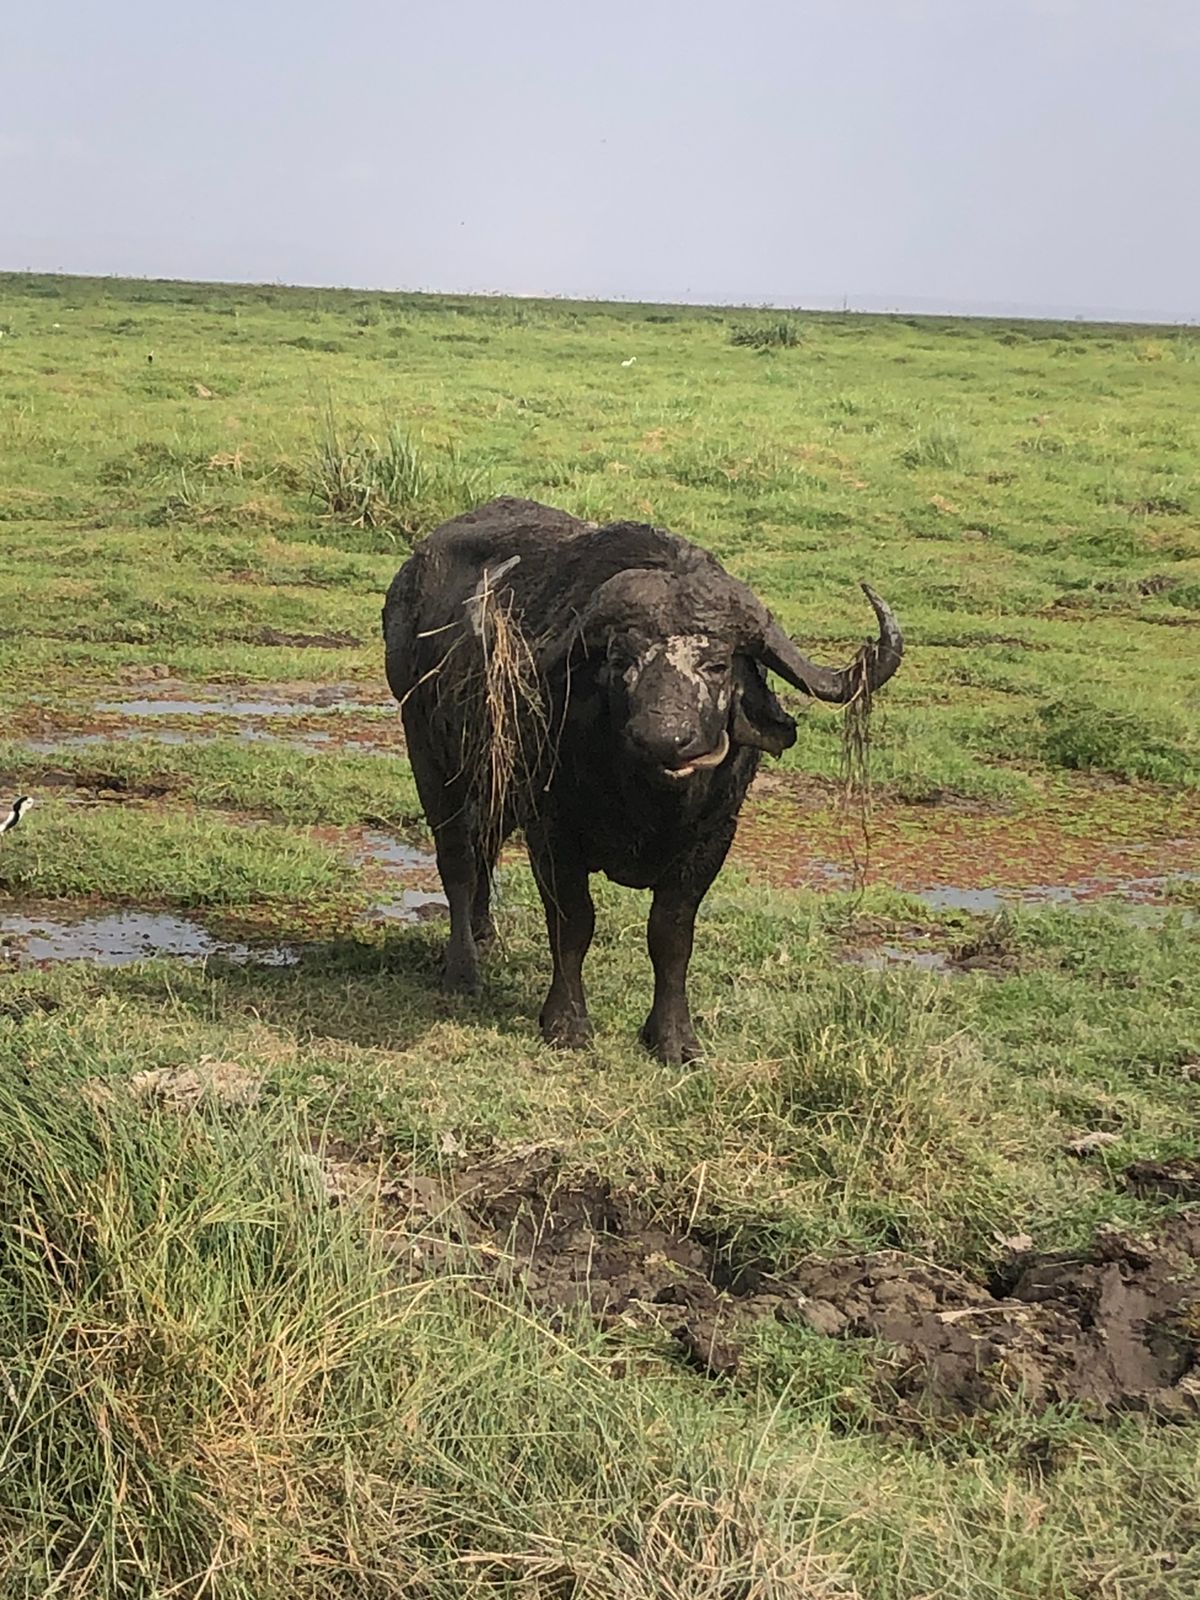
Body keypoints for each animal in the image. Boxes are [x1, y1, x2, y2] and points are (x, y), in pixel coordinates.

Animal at [383, 497, 902, 1064]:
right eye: (619, 659)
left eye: (718, 664)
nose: (665, 738)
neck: (647, 804)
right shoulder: (552, 831)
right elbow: (573, 922)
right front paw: (566, 1022)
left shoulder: (713, 838)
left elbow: (670, 934)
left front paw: (673, 1037)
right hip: (430, 756)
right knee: (457, 859)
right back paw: (464, 969)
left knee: (486, 847)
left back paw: (483, 934)